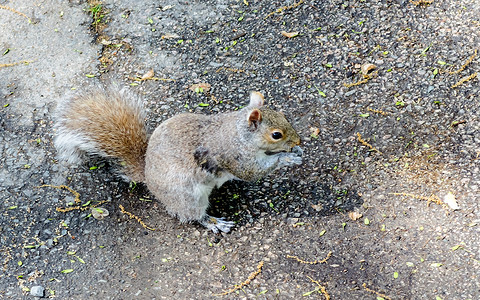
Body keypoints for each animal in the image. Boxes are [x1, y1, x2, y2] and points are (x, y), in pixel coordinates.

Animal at [54, 86, 302, 232]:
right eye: (276, 134)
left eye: (285, 117)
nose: (298, 140)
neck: (239, 134)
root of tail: (148, 179)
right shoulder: (235, 157)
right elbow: (253, 172)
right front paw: (287, 158)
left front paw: (295, 152)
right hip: (187, 196)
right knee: (193, 215)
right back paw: (214, 222)